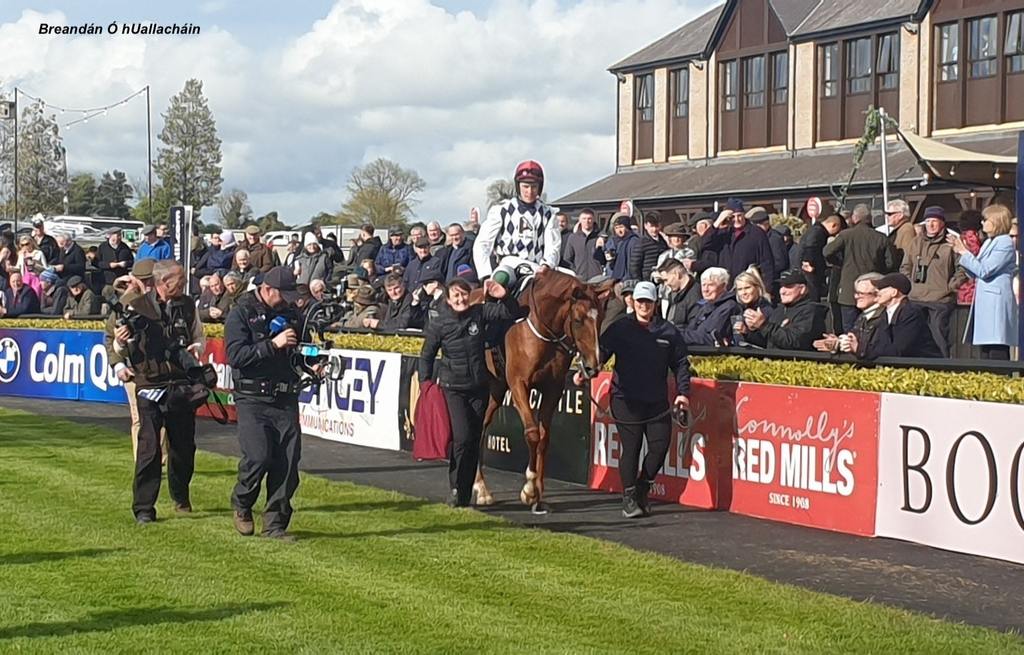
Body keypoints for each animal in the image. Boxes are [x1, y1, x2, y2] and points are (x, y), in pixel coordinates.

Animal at [473, 268, 614, 513]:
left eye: (601, 319)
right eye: (578, 320)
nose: (592, 367)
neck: (543, 329)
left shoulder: (553, 388)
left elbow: (545, 437)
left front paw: (538, 496)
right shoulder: (518, 384)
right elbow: (532, 434)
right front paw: (529, 489)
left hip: (496, 390)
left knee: (482, 427)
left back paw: (482, 488)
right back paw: (480, 487)